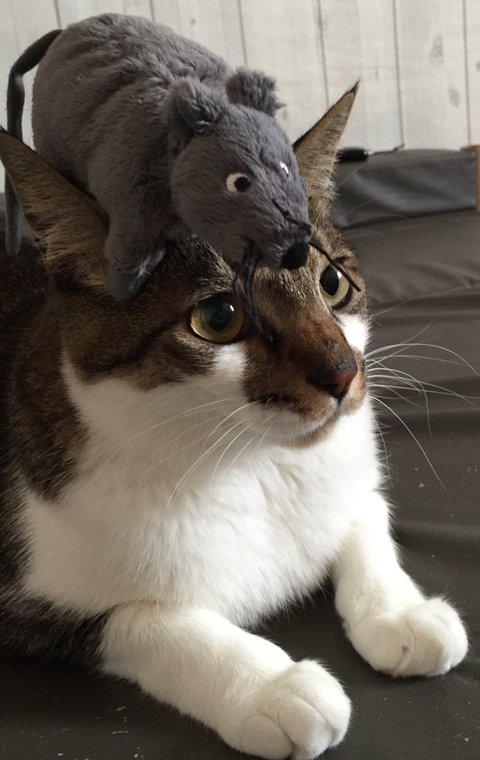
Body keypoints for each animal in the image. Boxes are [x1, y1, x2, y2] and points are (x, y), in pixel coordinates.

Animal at [0, 91, 467, 760]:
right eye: (218, 317)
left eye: (332, 282)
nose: (343, 373)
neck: (254, 462)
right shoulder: (23, 592)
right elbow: (137, 616)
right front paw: (269, 685)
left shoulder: (347, 465)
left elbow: (364, 515)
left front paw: (399, 613)